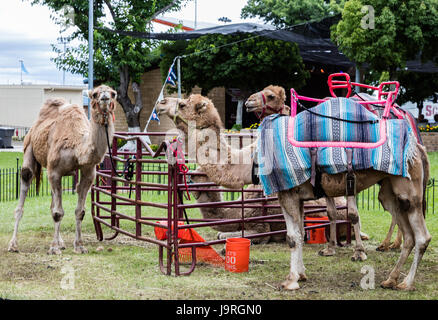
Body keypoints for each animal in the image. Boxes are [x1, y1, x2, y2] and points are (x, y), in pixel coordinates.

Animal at [9, 85, 118, 255]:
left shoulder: (88, 173)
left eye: (113, 93)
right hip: (29, 148)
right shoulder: (54, 171)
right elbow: (58, 212)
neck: (77, 147)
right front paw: (53, 248)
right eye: (95, 94)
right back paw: (13, 245)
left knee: (53, 203)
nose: (105, 97)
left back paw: (61, 242)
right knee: (26, 181)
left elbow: (80, 211)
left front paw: (79, 246)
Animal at [158, 94, 432, 292]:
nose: (161, 103)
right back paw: (390, 279)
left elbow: (291, 237)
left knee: (422, 236)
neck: (253, 158)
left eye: (182, 103)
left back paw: (406, 283)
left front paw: (290, 281)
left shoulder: (286, 193)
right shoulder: (298, 196)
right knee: (407, 232)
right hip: (389, 189)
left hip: (409, 188)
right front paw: (301, 274)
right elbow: (300, 233)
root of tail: (417, 146)